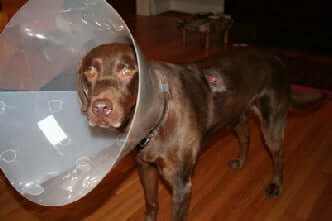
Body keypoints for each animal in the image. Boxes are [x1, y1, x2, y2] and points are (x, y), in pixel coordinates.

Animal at [76, 43, 326, 221]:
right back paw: (241, 162)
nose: (100, 108)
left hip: (271, 123)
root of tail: (276, 57)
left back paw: (276, 185)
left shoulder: (181, 186)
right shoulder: (145, 167)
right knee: (245, 136)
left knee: (278, 155)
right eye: (90, 71)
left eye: (127, 70)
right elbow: (151, 204)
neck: (159, 117)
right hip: (235, 115)